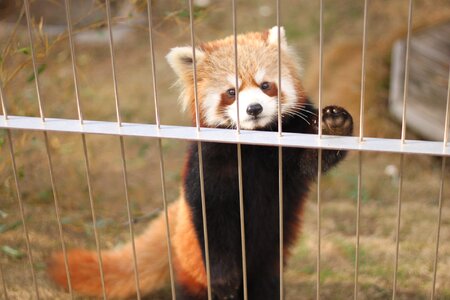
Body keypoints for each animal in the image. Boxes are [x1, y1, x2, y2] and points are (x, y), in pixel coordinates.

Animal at [48, 26, 352, 300]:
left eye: (266, 85)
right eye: (231, 92)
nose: (254, 109)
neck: (254, 141)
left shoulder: (287, 143)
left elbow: (311, 158)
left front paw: (333, 124)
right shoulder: (209, 160)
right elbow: (210, 217)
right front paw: (224, 280)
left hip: (268, 265)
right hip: (191, 266)